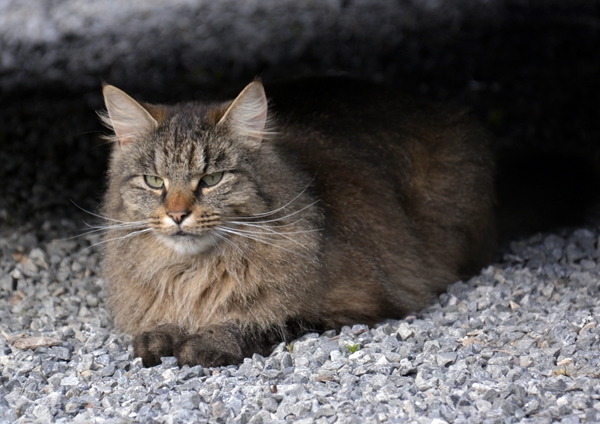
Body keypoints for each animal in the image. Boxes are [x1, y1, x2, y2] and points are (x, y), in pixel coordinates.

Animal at [98, 77, 494, 368]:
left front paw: (208, 340)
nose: (178, 214)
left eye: (212, 179)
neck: (192, 273)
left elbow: (265, 320)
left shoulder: (355, 304)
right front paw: (162, 333)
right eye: (154, 181)